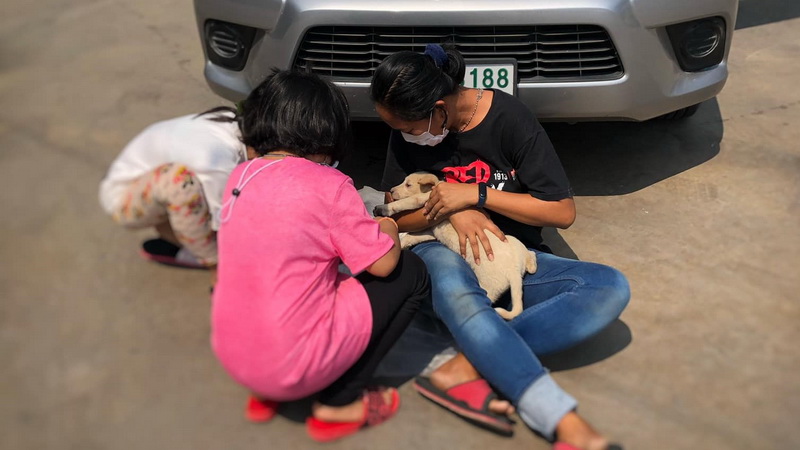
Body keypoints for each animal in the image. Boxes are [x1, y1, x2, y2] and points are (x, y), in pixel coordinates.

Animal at [376, 172, 536, 320]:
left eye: (408, 185)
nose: (390, 190)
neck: (435, 187)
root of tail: (513, 271)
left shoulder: (423, 199)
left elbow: (404, 202)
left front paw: (382, 208)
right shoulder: (429, 231)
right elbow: (412, 236)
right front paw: (401, 245)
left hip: (489, 286)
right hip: (517, 245)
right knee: (532, 255)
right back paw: (532, 265)